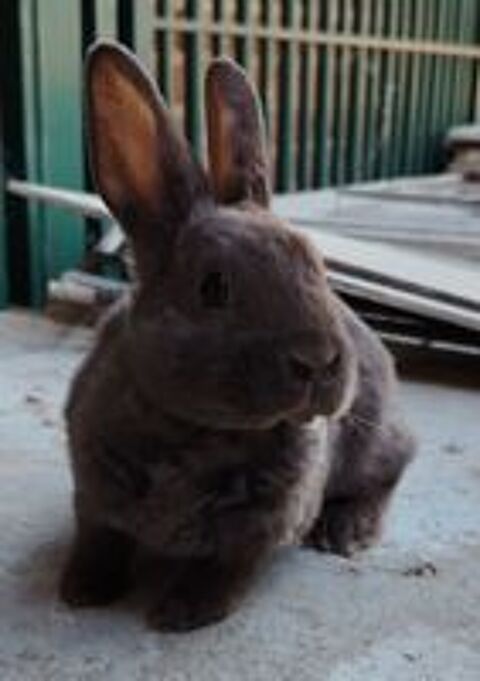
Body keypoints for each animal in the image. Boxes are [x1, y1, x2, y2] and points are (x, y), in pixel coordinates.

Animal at [59, 41, 415, 631]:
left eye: (319, 266)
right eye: (213, 287)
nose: (319, 360)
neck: (194, 430)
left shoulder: (265, 524)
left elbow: (229, 568)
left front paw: (180, 613)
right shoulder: (92, 494)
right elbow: (98, 539)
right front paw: (80, 591)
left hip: (372, 440)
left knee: (391, 470)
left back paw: (343, 532)